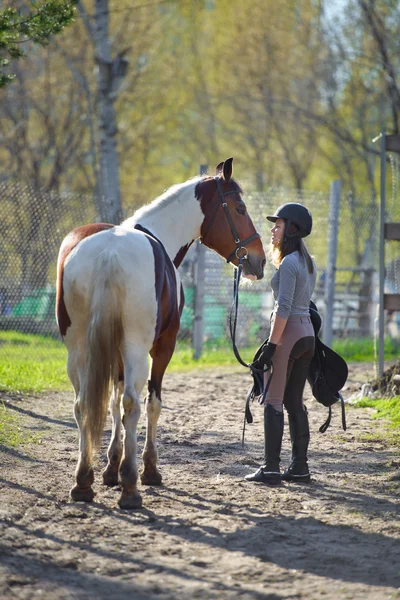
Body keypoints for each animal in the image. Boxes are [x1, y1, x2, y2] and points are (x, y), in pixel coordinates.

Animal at [55, 157, 266, 508]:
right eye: (239, 209)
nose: (259, 261)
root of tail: (110, 252)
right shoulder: (163, 347)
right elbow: (151, 403)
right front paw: (147, 470)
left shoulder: (113, 351)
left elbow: (112, 402)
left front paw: (110, 468)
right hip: (137, 348)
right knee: (133, 404)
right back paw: (130, 487)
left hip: (78, 349)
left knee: (83, 404)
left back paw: (83, 481)